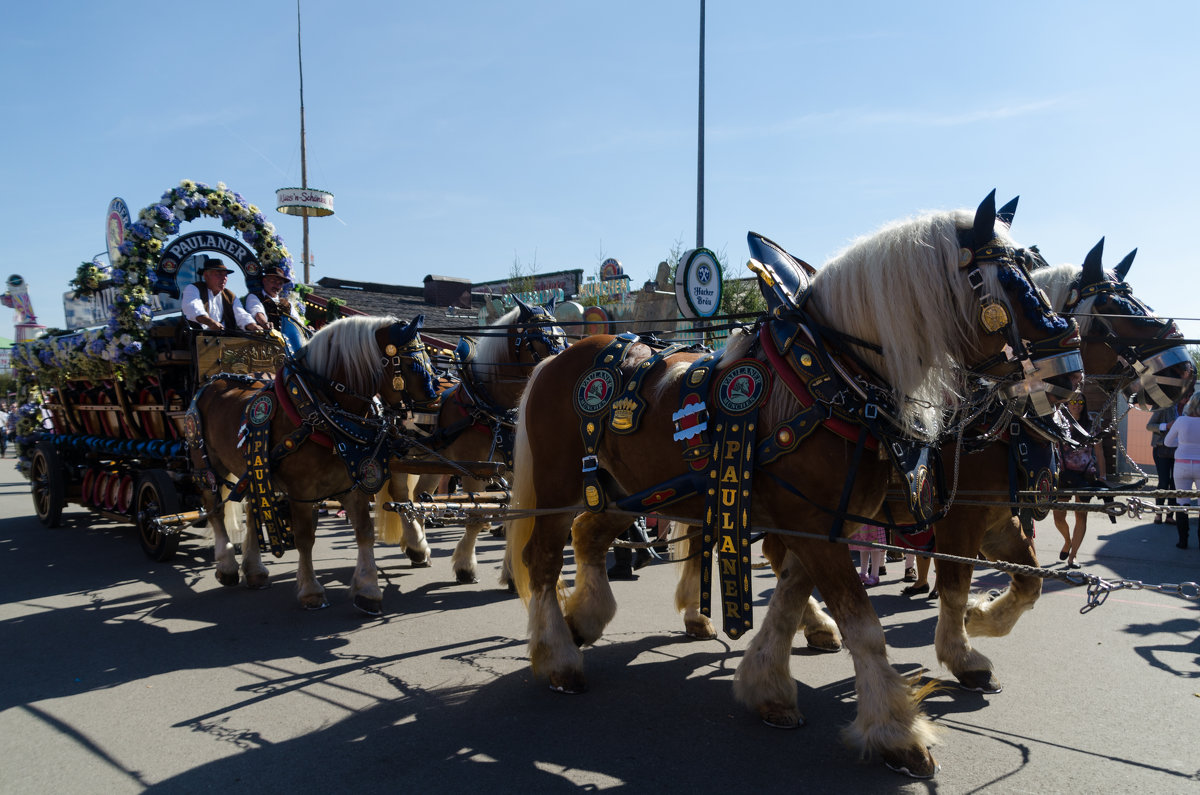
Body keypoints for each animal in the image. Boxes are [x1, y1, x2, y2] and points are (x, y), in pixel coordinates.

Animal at [189, 317, 444, 614]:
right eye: (413, 365)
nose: (434, 415)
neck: (320, 412)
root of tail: (213, 381)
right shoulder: (301, 491)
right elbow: (304, 538)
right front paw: (311, 591)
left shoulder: (353, 482)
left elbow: (364, 532)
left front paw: (368, 589)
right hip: (206, 464)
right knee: (215, 509)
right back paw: (228, 566)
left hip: (254, 468)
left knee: (253, 510)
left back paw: (255, 571)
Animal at [501, 195, 1084, 782]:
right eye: (1001, 281)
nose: (1069, 365)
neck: (832, 377)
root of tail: (557, 358)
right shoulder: (887, 521)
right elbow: (871, 620)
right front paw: (897, 730)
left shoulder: (829, 522)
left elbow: (789, 596)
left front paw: (767, 686)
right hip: (558, 488)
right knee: (544, 559)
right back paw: (558, 658)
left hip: (633, 492)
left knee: (590, 536)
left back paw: (586, 619)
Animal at [744, 237, 1195, 696]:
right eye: (1112, 308)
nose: (1185, 368)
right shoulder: (961, 517)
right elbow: (956, 582)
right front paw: (963, 653)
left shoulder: (996, 516)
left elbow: (1030, 581)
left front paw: (981, 619)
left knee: (781, 555)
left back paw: (814, 626)